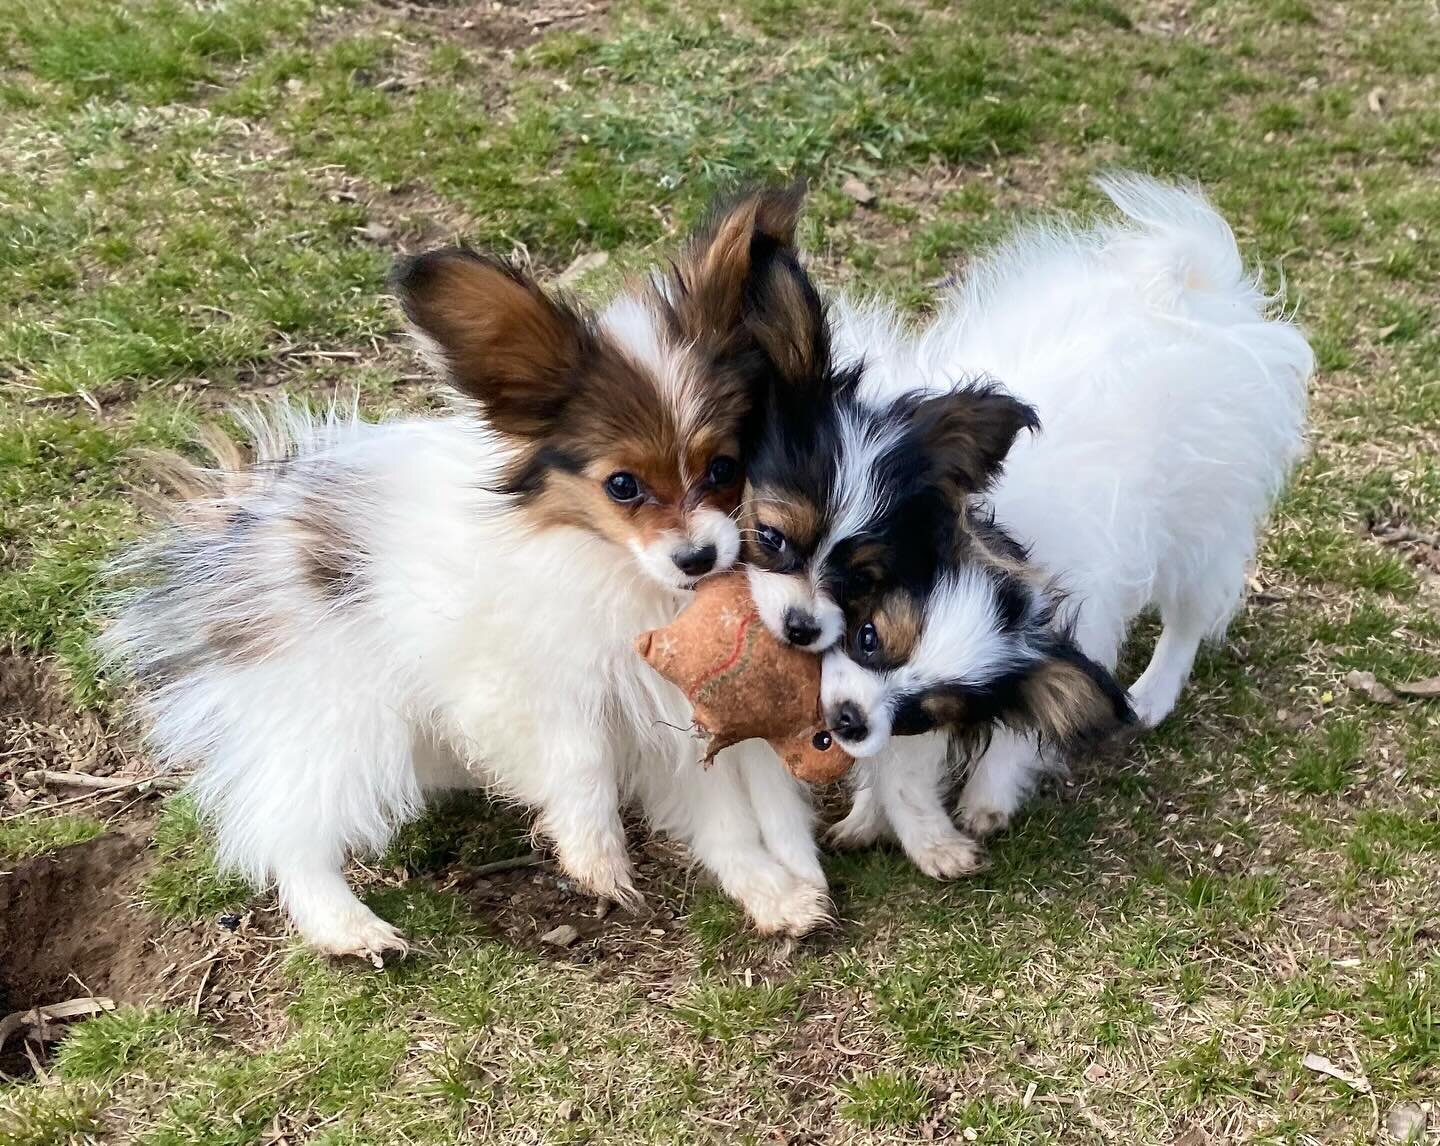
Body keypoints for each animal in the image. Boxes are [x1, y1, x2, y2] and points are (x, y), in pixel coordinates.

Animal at [104, 192, 835, 961]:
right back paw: (344, 923)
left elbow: (726, 817)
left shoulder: (668, 715)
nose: (698, 558)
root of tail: (251, 523)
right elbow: (579, 759)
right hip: (344, 714)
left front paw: (776, 891)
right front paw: (596, 857)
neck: (621, 572)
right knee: (287, 828)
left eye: (724, 468)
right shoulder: (520, 685)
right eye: (624, 485)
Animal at [737, 172, 1313, 875]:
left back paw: (1153, 692)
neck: (993, 534)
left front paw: (983, 799)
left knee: (1190, 614)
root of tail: (1204, 298)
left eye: (925, 712)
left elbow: (1025, 719)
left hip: (1200, 524)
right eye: (867, 635)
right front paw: (870, 815)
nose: (846, 722)